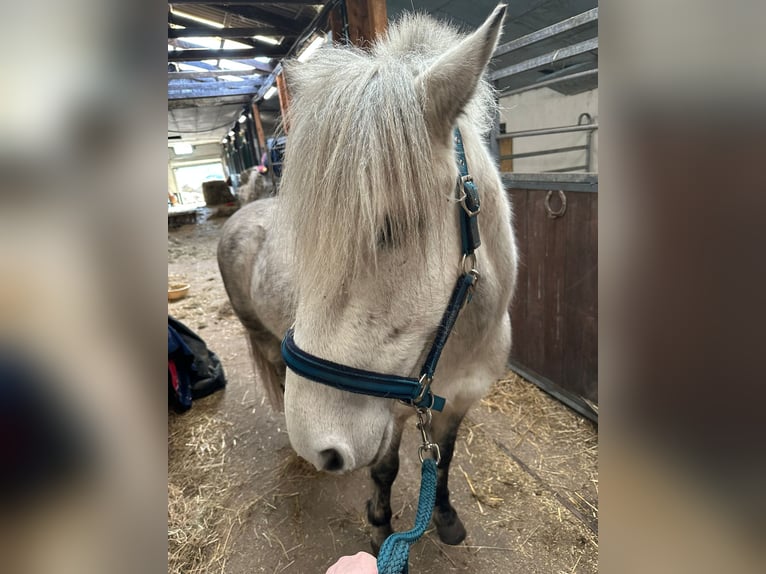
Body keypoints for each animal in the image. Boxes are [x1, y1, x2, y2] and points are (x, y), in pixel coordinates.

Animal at [217, 3, 517, 551]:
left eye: (390, 228)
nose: (320, 448)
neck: (459, 343)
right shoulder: (389, 416)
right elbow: (386, 469)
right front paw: (380, 527)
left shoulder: (458, 405)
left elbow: (444, 462)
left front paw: (445, 517)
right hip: (261, 336)